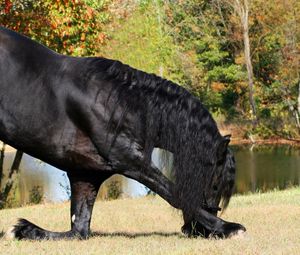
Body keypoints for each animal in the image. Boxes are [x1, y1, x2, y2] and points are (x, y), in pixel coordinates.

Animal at [0, 26, 246, 239]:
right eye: (216, 183)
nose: (197, 230)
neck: (118, 103)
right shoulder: (130, 161)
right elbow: (173, 193)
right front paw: (229, 227)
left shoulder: (85, 175)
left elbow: (78, 230)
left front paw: (24, 229)